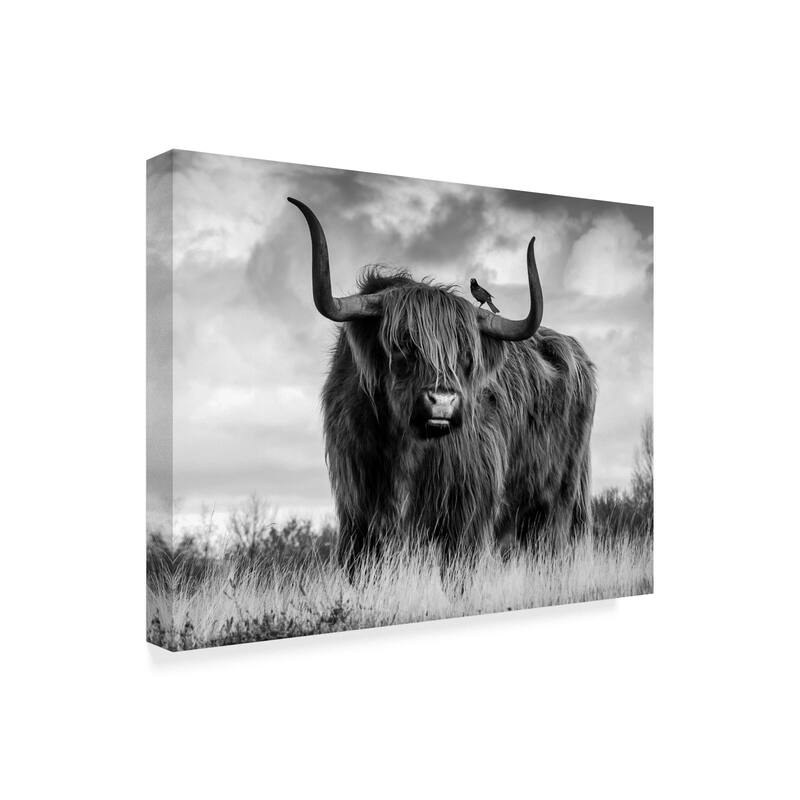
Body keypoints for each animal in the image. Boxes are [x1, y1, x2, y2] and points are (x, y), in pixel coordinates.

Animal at [288, 197, 597, 572]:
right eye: (402, 345)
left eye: (466, 353)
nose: (443, 401)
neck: (403, 448)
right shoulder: (357, 516)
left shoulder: (466, 517)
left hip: (556, 504)